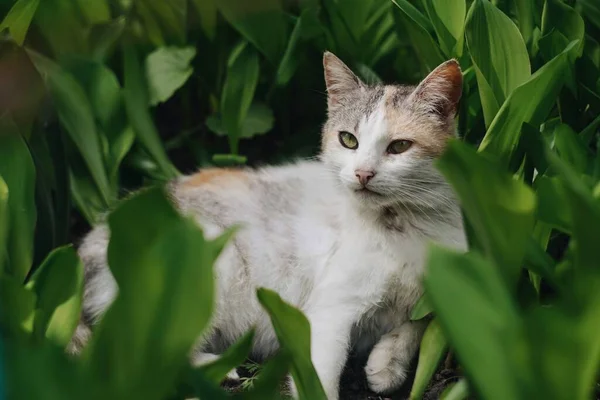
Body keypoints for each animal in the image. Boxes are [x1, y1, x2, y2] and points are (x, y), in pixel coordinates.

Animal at [72, 51, 468, 398]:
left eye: (399, 146)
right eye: (348, 140)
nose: (362, 173)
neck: (400, 223)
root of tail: (90, 244)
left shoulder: (437, 289)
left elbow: (419, 324)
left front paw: (386, 366)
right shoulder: (329, 312)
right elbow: (320, 376)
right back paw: (218, 370)